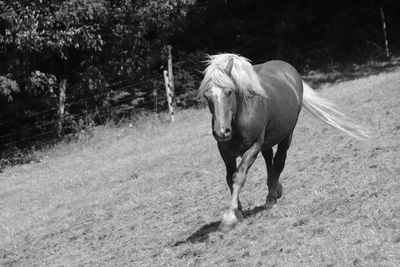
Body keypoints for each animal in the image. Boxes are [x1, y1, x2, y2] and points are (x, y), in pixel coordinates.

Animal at [198, 52, 370, 232]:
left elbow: (238, 176)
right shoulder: (225, 151)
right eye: (207, 96)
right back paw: (273, 189)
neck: (241, 112)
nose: (221, 132)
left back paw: (272, 196)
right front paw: (238, 211)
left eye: (229, 91)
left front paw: (230, 217)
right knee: (269, 159)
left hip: (287, 134)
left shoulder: (253, 147)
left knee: (279, 160)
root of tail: (289, 69)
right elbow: (229, 178)